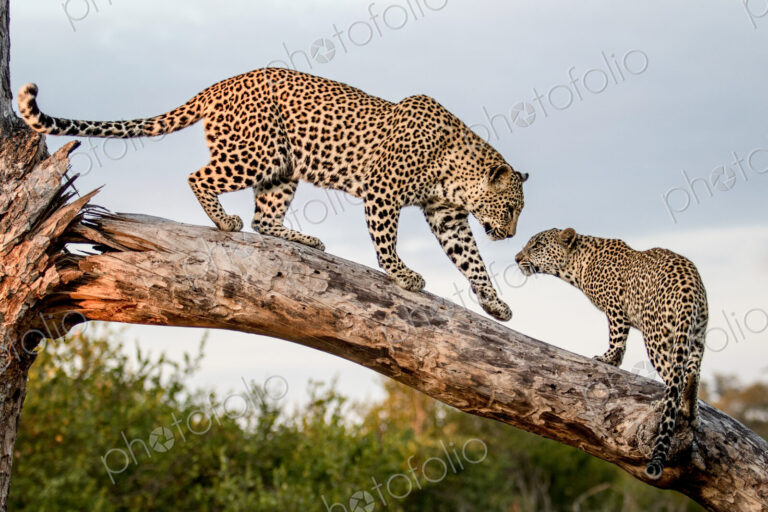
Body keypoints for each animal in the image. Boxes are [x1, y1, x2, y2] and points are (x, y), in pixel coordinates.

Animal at [17, 68, 529, 321]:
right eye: (510, 208)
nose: (508, 236)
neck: (454, 172)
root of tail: (223, 82)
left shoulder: (447, 217)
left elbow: (472, 261)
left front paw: (496, 304)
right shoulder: (383, 191)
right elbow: (386, 241)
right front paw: (403, 275)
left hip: (283, 167)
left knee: (265, 219)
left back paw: (302, 239)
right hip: (257, 152)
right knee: (198, 177)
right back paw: (224, 221)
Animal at [515, 227, 707, 480]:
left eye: (536, 246)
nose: (516, 258)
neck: (577, 264)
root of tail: (689, 285)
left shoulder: (615, 308)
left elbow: (617, 340)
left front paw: (607, 359)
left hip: (656, 335)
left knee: (676, 377)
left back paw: (664, 405)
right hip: (696, 336)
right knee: (693, 373)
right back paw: (692, 414)